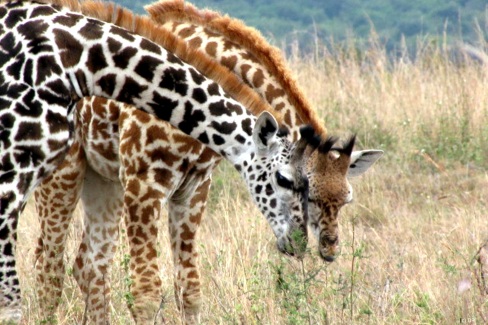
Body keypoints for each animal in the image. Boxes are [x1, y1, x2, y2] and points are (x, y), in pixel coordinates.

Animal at [31, 1, 386, 322]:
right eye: (296, 187)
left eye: (346, 199)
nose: (325, 249)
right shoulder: (145, 182)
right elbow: (146, 292)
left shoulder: (194, 188)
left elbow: (189, 289)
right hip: (63, 171)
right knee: (48, 266)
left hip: (105, 179)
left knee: (88, 265)